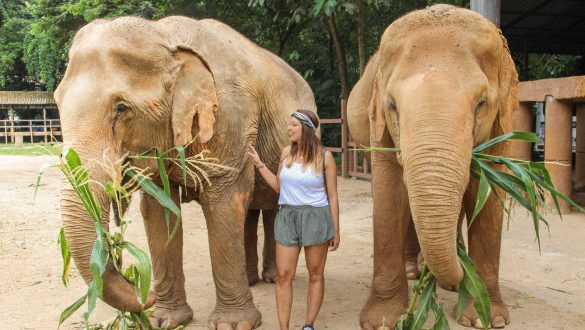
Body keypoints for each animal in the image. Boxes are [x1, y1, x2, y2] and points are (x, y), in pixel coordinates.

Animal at [56, 16, 314, 330]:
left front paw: (233, 325)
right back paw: (253, 279)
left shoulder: (231, 121)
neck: (167, 36)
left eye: (121, 108)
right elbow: (160, 212)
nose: (144, 292)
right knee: (251, 208)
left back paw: (272, 279)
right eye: (57, 103)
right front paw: (164, 320)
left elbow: (224, 203)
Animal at [346, 4, 516, 328]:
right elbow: (389, 192)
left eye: (482, 103)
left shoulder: (503, 123)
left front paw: (487, 319)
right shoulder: (379, 125)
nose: (461, 275)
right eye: (392, 105)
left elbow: (488, 194)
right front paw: (383, 321)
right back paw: (415, 272)